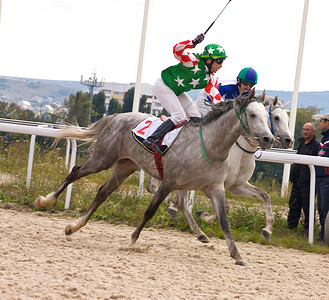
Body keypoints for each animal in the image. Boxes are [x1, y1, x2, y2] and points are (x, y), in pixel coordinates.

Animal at [34, 89, 274, 264]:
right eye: (253, 115)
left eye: (267, 116)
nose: (268, 138)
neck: (209, 145)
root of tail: (117, 116)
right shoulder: (169, 182)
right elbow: (150, 211)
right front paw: (132, 241)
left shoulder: (215, 188)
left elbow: (224, 220)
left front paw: (237, 255)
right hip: (103, 158)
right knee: (75, 172)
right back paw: (45, 200)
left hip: (125, 166)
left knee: (103, 192)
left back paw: (74, 226)